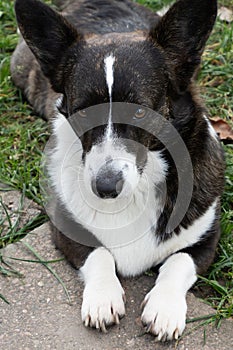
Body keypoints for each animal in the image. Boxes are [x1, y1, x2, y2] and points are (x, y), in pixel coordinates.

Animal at [11, 0, 225, 342]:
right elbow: (99, 253)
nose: (106, 187)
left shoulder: (206, 239)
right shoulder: (65, 227)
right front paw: (103, 299)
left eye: (139, 111)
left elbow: (179, 261)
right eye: (83, 112)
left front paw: (164, 308)